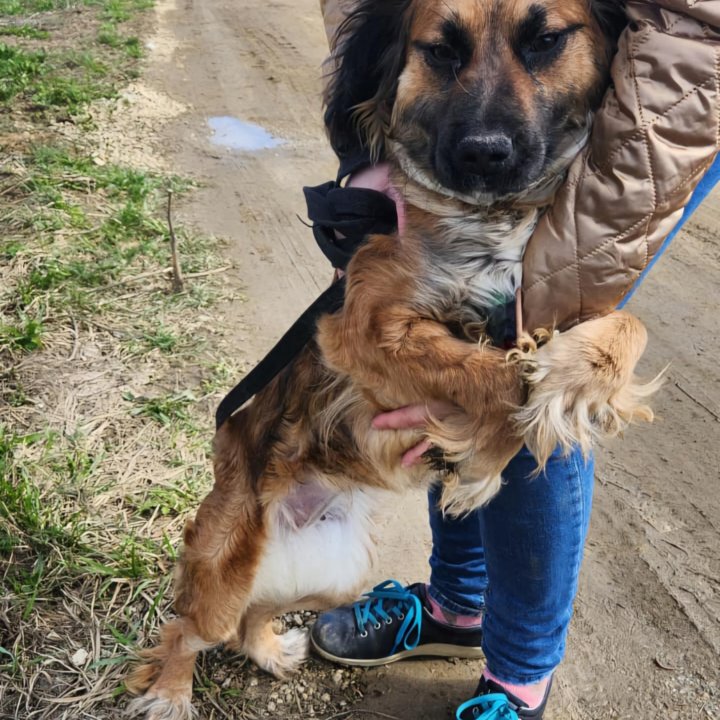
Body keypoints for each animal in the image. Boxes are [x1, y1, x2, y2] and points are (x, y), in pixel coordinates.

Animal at [125, 2, 660, 716]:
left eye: (546, 39)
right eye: (441, 50)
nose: (484, 153)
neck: (488, 220)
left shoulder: (558, 285)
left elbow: (628, 325)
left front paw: (554, 395)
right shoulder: (363, 328)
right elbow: (489, 377)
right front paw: (511, 424)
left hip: (337, 573)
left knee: (253, 616)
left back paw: (268, 650)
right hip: (222, 567)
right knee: (188, 629)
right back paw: (171, 693)